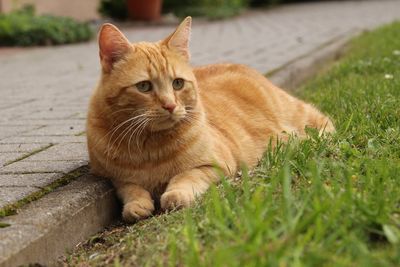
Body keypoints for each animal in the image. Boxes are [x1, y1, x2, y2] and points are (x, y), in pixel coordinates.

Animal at [87, 16, 334, 222]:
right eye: (144, 87)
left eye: (177, 83)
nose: (170, 105)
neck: (150, 149)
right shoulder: (116, 178)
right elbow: (130, 189)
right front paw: (136, 205)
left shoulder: (216, 165)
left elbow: (185, 176)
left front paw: (174, 194)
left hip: (297, 114)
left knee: (325, 124)